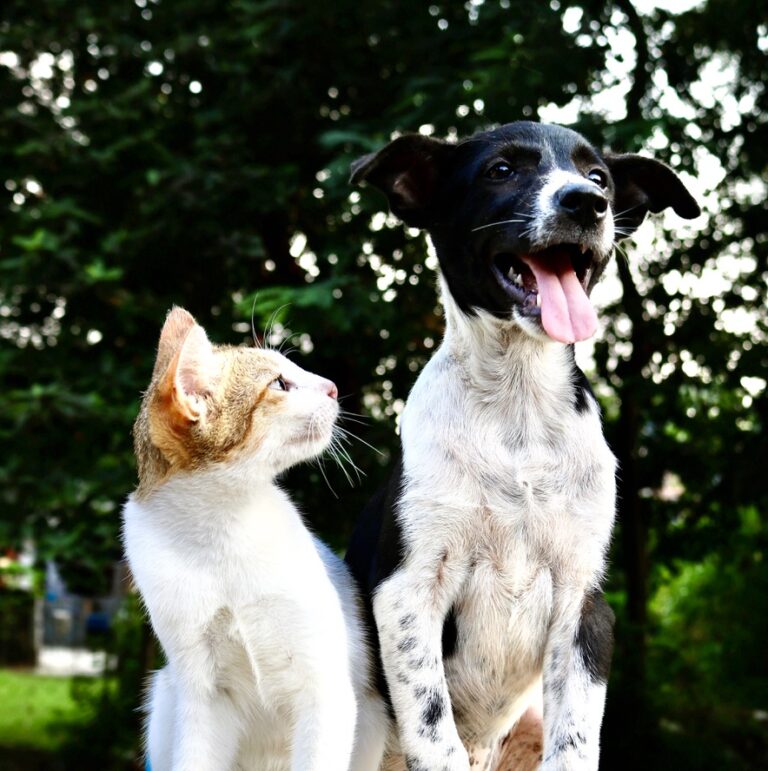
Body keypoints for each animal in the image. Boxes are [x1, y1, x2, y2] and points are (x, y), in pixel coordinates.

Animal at [123, 310, 388, 771]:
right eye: (279, 384)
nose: (332, 387)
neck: (223, 530)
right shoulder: (203, 697)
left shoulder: (325, 691)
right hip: (166, 697)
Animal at [344, 120, 700, 771]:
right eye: (501, 170)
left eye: (599, 177)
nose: (586, 204)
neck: (520, 411)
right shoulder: (408, 594)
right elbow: (433, 733)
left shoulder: (584, 605)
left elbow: (576, 743)